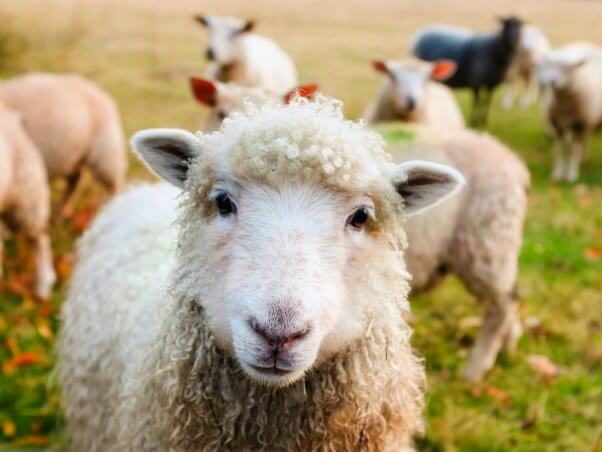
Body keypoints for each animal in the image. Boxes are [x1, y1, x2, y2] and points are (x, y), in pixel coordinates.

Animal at [0, 73, 126, 215]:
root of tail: (98, 90)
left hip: (105, 154)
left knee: (116, 185)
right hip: (73, 156)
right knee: (75, 180)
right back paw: (61, 211)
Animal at [536, 42, 600, 182]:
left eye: (567, 68)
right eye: (549, 66)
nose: (552, 82)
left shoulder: (581, 125)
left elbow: (575, 150)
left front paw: (572, 174)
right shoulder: (558, 125)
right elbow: (561, 149)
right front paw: (558, 174)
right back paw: (584, 159)